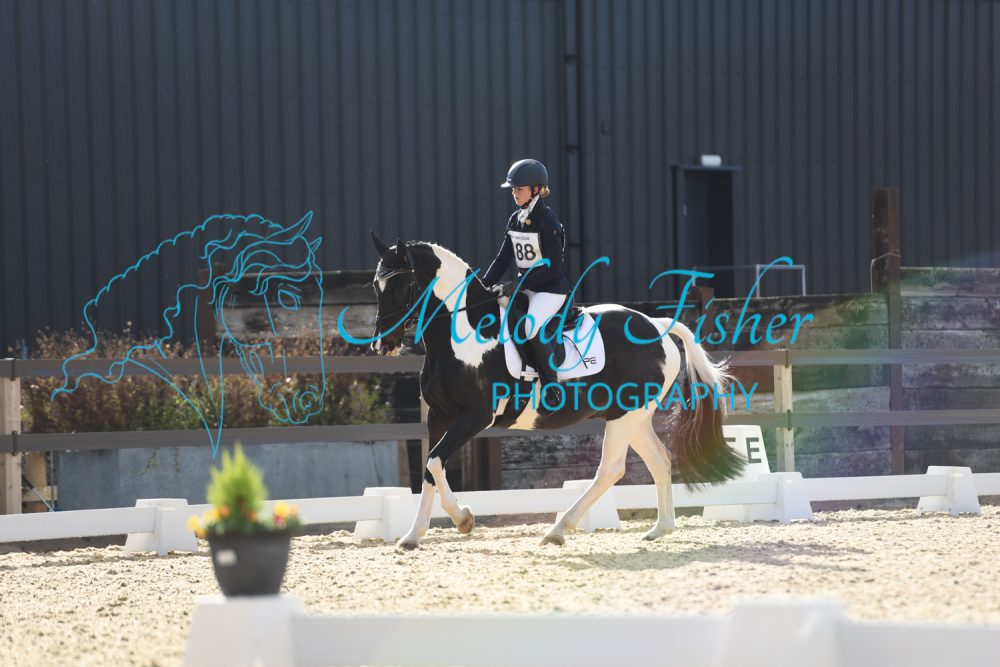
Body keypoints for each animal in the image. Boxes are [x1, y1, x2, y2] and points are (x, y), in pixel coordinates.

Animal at [365, 232, 745, 549]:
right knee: (659, 460)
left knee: (610, 470)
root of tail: (655, 324)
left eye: (398, 287)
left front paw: (464, 520)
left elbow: (434, 461)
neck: (465, 334)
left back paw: (558, 531)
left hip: (625, 415)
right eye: (375, 286)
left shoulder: (474, 417)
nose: (383, 345)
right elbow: (431, 468)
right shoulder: (440, 417)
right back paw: (659, 529)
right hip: (634, 417)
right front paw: (412, 536)